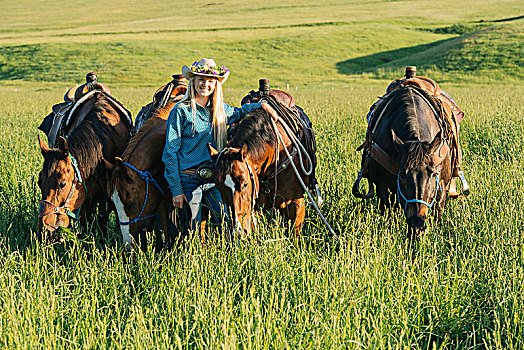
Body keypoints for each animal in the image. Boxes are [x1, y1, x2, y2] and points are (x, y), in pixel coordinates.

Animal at [352, 74, 458, 238]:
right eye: (402, 174)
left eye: (433, 174)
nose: (417, 221)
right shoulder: (381, 184)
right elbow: (387, 211)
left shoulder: (442, 184)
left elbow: (437, 213)